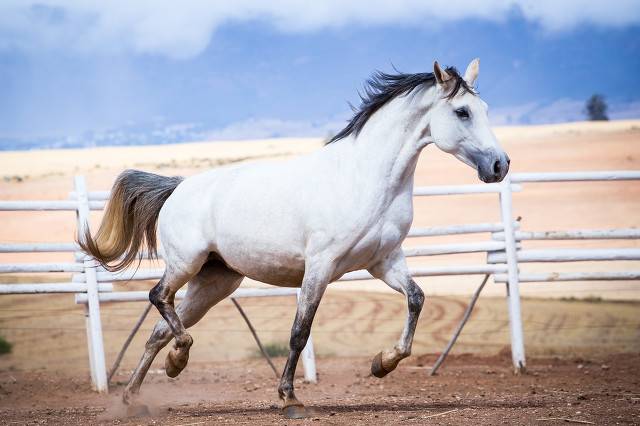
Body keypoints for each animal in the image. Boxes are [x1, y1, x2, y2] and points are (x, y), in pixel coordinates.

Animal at [80, 58, 510, 418]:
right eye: (462, 112)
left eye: (487, 110)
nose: (500, 165)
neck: (365, 178)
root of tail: (178, 187)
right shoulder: (321, 266)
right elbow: (299, 332)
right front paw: (290, 399)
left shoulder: (384, 261)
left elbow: (416, 299)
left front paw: (381, 364)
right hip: (186, 264)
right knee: (158, 298)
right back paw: (176, 361)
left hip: (215, 281)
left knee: (159, 331)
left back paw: (138, 394)